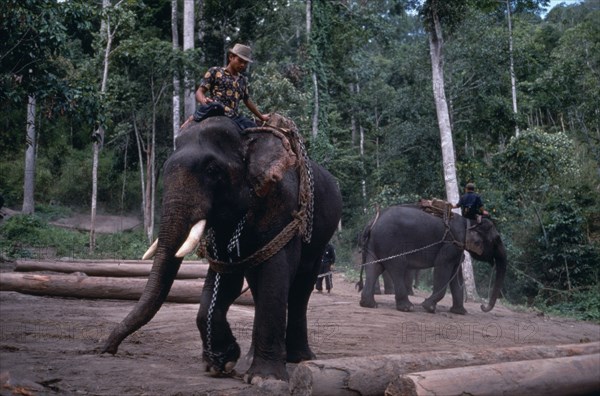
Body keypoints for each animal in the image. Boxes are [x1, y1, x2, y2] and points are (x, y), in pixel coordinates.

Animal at [102, 116, 342, 382]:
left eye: (212, 171)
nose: (106, 348)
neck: (247, 136)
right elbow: (225, 277)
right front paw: (221, 364)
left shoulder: (282, 203)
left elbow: (275, 272)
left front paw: (264, 378)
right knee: (258, 285)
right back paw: (250, 359)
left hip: (320, 238)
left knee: (301, 286)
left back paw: (299, 359)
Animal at [356, 206, 506, 314]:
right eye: (496, 241)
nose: (482, 306)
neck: (469, 222)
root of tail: (372, 222)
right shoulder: (450, 244)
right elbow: (442, 269)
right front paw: (428, 307)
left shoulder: (457, 248)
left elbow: (456, 277)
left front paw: (460, 312)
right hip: (390, 242)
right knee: (397, 266)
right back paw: (408, 308)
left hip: (375, 244)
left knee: (375, 267)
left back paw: (369, 304)